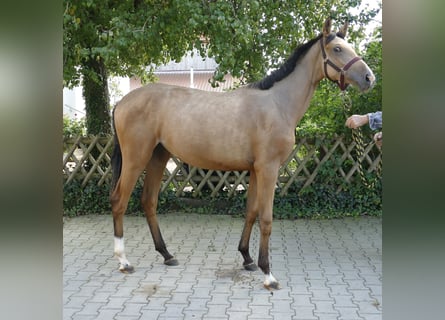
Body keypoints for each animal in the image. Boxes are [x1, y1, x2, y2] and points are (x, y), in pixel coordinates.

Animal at [109, 18, 372, 292]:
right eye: (337, 49)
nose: (369, 78)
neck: (277, 104)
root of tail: (122, 102)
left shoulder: (256, 170)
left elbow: (251, 212)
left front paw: (247, 258)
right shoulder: (268, 169)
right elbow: (266, 219)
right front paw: (268, 273)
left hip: (158, 157)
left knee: (148, 201)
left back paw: (167, 254)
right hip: (136, 159)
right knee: (119, 201)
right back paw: (124, 261)